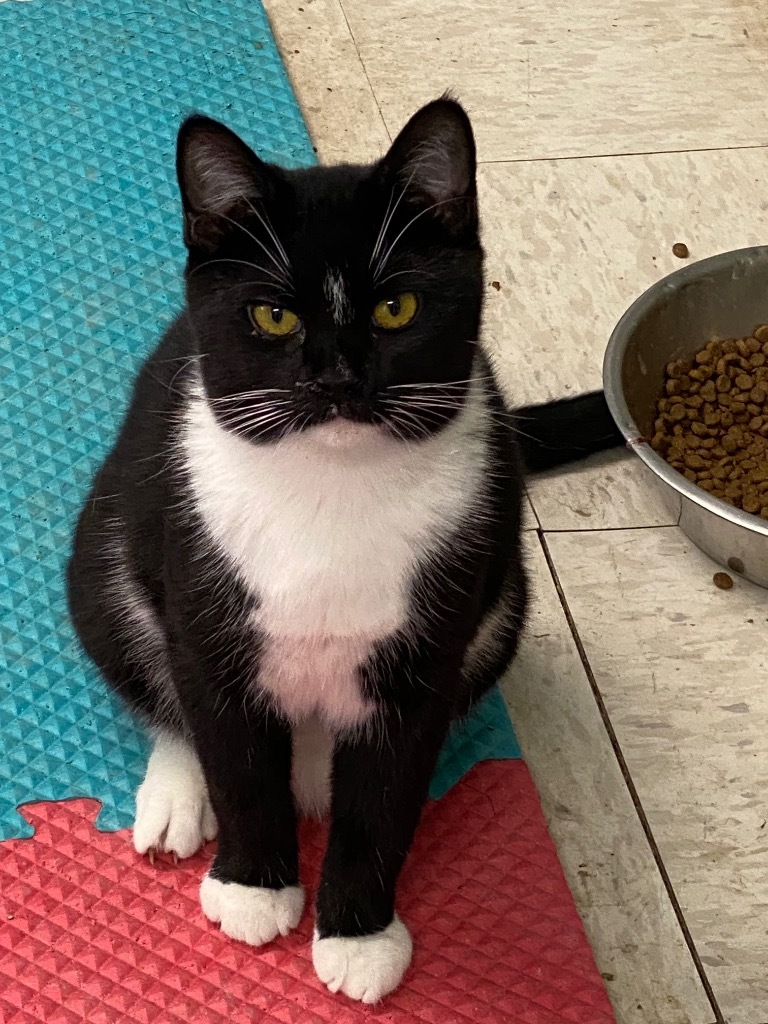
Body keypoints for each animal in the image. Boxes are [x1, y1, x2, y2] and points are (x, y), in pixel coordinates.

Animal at [67, 96, 626, 999]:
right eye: (273, 315)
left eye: (396, 309)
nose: (335, 378)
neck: (330, 492)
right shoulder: (207, 614)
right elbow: (234, 761)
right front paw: (254, 888)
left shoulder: (426, 656)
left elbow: (385, 799)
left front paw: (359, 936)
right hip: (105, 555)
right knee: (162, 686)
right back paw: (177, 800)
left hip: (502, 603)